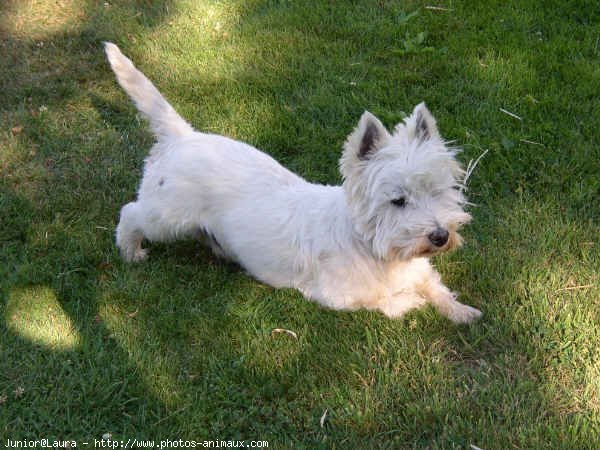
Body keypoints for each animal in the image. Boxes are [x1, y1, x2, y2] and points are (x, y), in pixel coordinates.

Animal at [104, 42, 482, 324]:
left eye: (437, 192)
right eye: (398, 201)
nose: (440, 236)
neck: (375, 248)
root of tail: (184, 136)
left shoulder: (420, 269)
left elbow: (435, 286)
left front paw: (463, 312)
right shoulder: (336, 294)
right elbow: (389, 301)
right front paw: (413, 303)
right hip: (167, 215)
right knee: (130, 212)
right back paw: (131, 251)